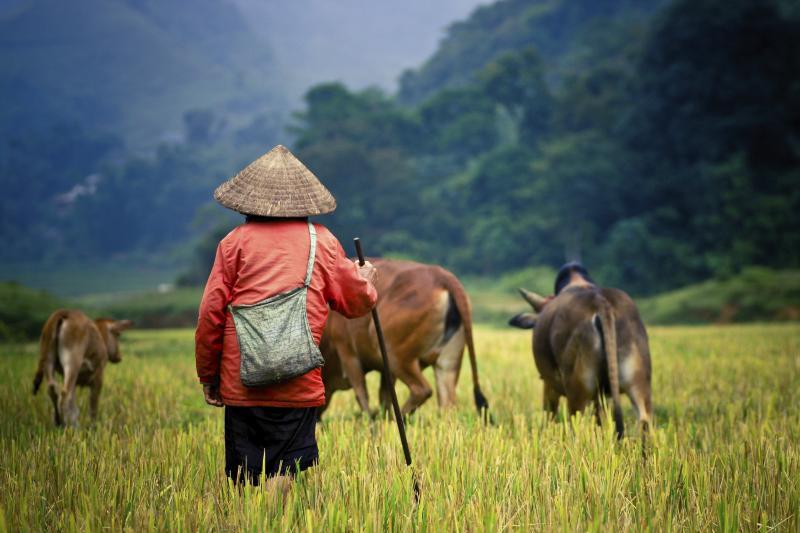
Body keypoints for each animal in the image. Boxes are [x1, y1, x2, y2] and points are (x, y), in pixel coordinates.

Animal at [318, 260, 488, 418]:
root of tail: (442, 276)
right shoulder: (385, 371)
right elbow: (385, 397)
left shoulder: (347, 352)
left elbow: (362, 394)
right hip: (447, 363)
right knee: (448, 406)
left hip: (395, 355)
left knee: (422, 390)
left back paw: (397, 419)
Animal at [512, 260, 648, 438]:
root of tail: (601, 303)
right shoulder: (601, 396)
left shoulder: (549, 384)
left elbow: (549, 417)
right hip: (637, 383)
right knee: (644, 421)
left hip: (577, 391)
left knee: (575, 426)